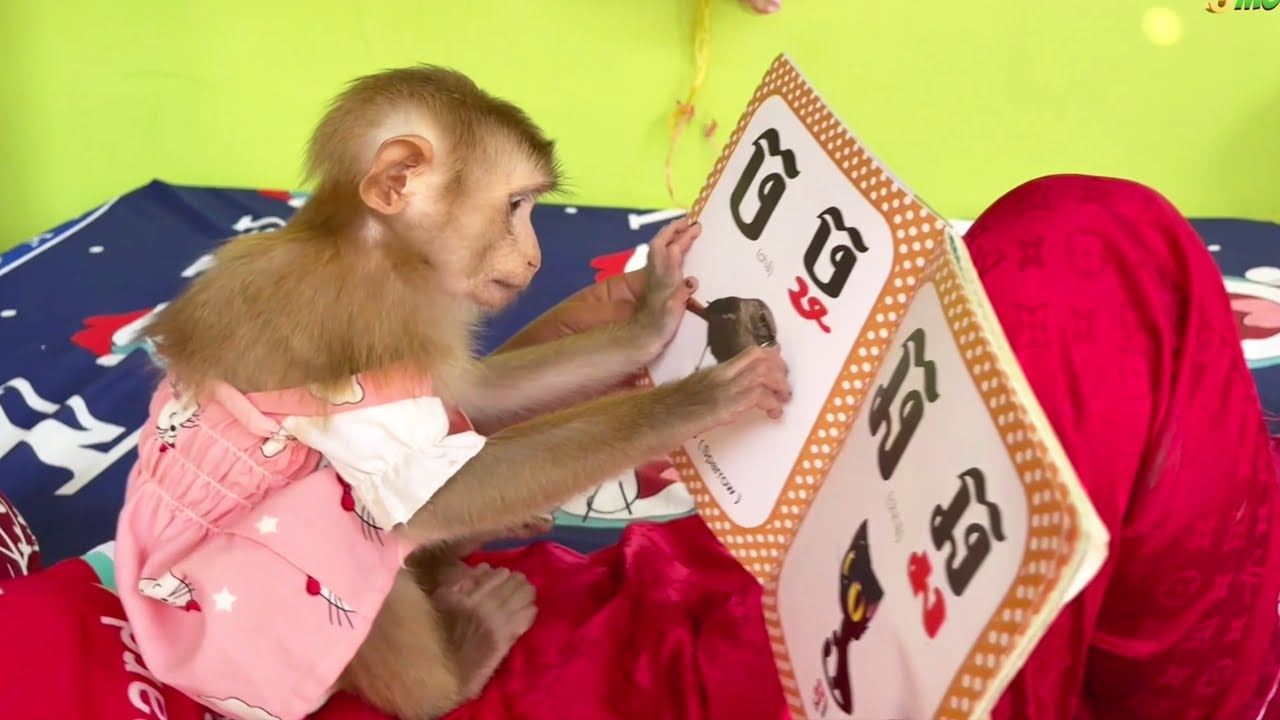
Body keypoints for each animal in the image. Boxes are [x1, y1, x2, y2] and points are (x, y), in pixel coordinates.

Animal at [113, 65, 792, 720]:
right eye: (516, 205)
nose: (536, 257)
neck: (384, 249)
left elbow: (479, 394)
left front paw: (651, 314)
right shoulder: (372, 324)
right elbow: (429, 494)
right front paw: (703, 398)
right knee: (350, 513)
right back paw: (460, 668)